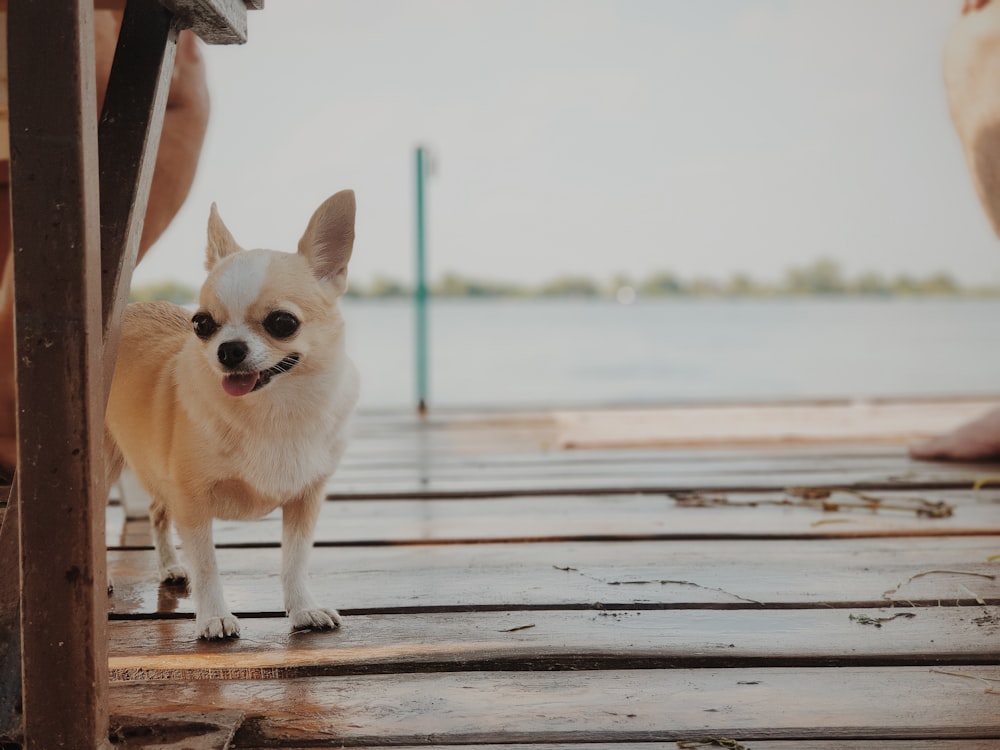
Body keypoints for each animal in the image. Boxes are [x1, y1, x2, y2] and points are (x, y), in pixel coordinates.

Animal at [105, 189, 360, 640]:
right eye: (202, 324)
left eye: (282, 323)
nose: (228, 349)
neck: (273, 410)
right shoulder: (192, 500)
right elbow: (207, 565)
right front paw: (213, 616)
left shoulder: (305, 498)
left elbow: (295, 561)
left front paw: (303, 608)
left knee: (155, 512)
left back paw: (170, 566)